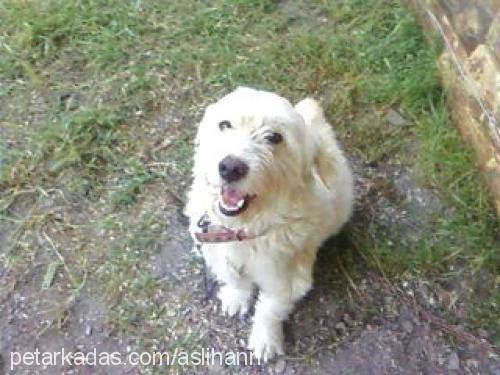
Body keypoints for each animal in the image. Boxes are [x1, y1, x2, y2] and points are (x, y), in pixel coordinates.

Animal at [186, 86, 354, 362]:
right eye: (225, 124)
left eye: (274, 137)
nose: (230, 167)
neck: (244, 229)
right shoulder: (218, 254)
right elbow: (234, 279)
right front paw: (237, 297)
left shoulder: (287, 280)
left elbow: (269, 310)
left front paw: (265, 339)